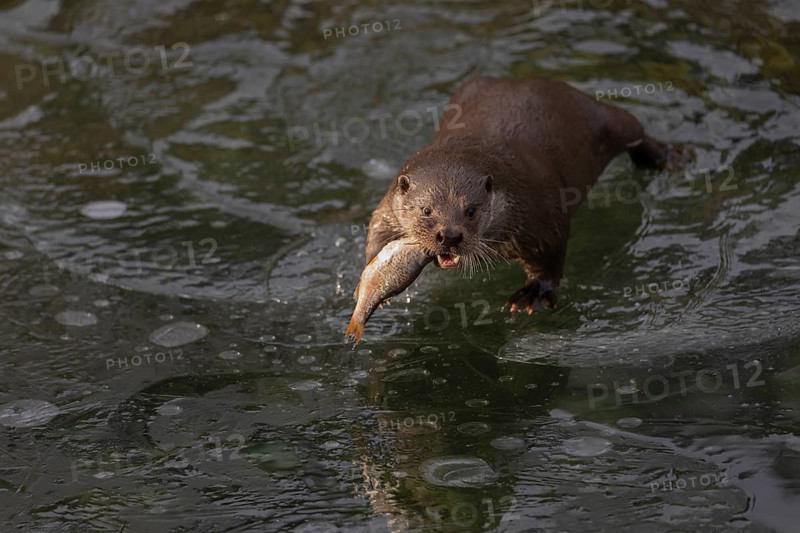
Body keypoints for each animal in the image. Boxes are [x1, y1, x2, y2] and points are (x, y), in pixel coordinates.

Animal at [364, 76, 685, 313]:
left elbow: (550, 255)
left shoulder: (540, 211)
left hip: (598, 117)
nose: (449, 236)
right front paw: (379, 278)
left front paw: (534, 293)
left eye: (472, 211)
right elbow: (377, 229)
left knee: (633, 127)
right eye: (426, 210)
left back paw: (667, 158)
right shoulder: (389, 202)